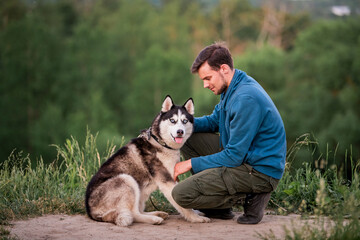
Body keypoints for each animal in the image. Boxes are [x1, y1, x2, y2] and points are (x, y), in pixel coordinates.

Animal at [84, 94, 210, 226]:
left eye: (185, 121)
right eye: (172, 120)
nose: (180, 132)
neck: (161, 143)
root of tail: (90, 212)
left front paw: (196, 213)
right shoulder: (166, 181)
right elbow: (182, 206)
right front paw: (195, 218)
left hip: (140, 191)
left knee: (138, 210)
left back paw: (157, 213)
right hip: (127, 179)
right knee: (134, 214)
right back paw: (154, 219)